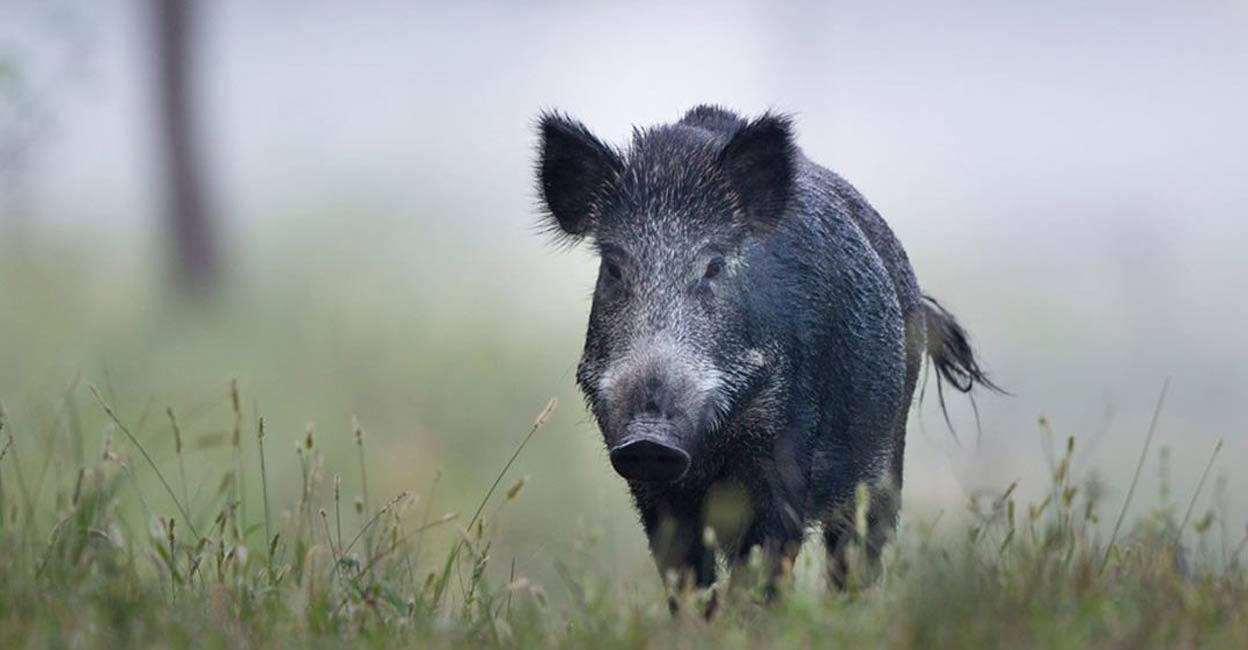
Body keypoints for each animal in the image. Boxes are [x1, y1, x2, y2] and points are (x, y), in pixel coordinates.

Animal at [535, 105, 999, 601]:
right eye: (613, 268)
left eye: (714, 266)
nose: (648, 438)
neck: (711, 447)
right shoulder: (651, 488)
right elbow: (686, 579)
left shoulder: (787, 451)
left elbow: (764, 566)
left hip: (885, 461)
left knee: (856, 558)